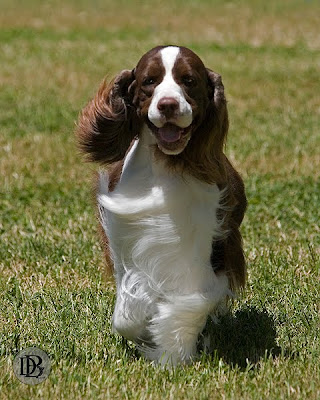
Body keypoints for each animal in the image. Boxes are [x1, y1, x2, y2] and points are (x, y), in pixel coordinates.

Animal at [76, 45, 246, 364]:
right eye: (149, 81)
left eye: (189, 80)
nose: (168, 105)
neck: (166, 163)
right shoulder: (126, 237)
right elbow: (126, 314)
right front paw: (143, 330)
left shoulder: (200, 246)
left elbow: (189, 303)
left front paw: (171, 355)